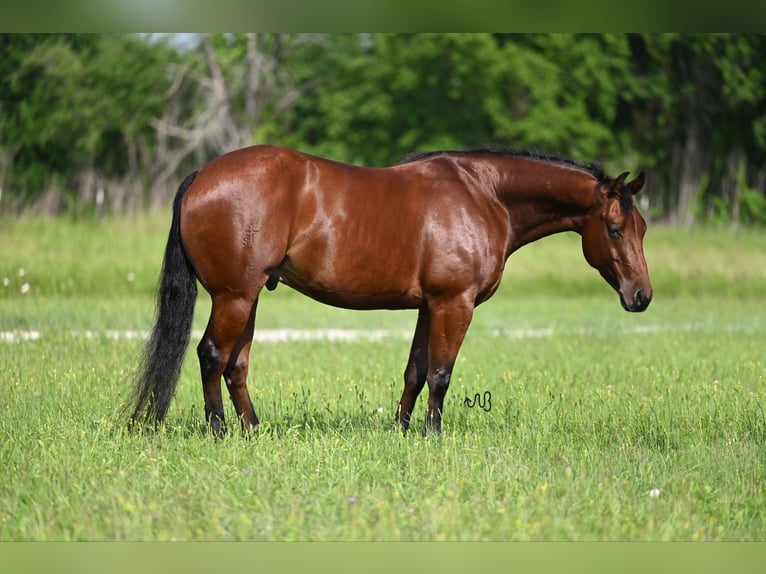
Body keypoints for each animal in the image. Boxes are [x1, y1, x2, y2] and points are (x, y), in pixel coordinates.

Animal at [127, 144, 656, 436]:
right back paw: (220, 432)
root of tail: (202, 175)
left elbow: (415, 371)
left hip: (249, 297)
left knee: (236, 364)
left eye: (643, 228)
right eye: (614, 229)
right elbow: (441, 374)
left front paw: (402, 431)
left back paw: (255, 431)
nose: (641, 297)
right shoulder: (454, 304)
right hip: (234, 296)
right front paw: (432, 436)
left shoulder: (429, 306)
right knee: (212, 355)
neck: (483, 194)